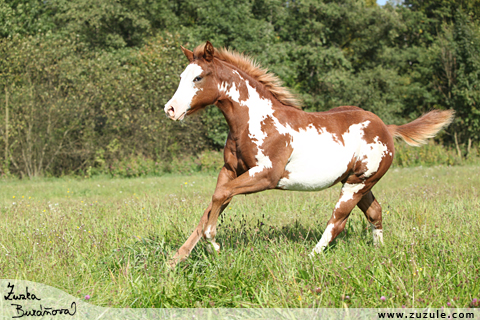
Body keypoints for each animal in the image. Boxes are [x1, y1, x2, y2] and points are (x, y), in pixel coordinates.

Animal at [164, 41, 454, 266]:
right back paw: (378, 251)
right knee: (375, 212)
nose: (170, 109)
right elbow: (213, 203)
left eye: (198, 78)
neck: (255, 120)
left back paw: (311, 257)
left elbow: (218, 198)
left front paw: (213, 243)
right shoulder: (231, 171)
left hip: (356, 185)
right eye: (181, 77)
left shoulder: (266, 175)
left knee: (338, 221)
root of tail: (387, 128)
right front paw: (176, 259)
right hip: (359, 183)